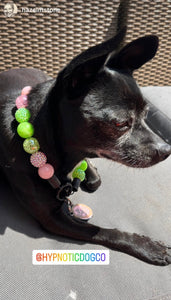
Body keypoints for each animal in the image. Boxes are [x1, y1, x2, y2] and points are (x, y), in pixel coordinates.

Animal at [0, 25, 171, 264]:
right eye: (121, 123)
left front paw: (89, 174)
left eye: (147, 114)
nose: (166, 149)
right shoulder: (53, 219)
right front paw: (149, 246)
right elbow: (104, 232)